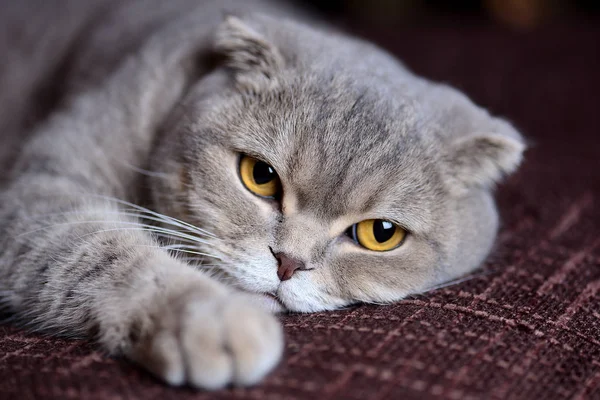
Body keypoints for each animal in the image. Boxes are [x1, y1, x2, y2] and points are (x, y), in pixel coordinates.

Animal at [0, 0, 524, 390]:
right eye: (260, 176)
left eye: (381, 234)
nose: (288, 263)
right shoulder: (40, 188)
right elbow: (100, 248)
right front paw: (214, 320)